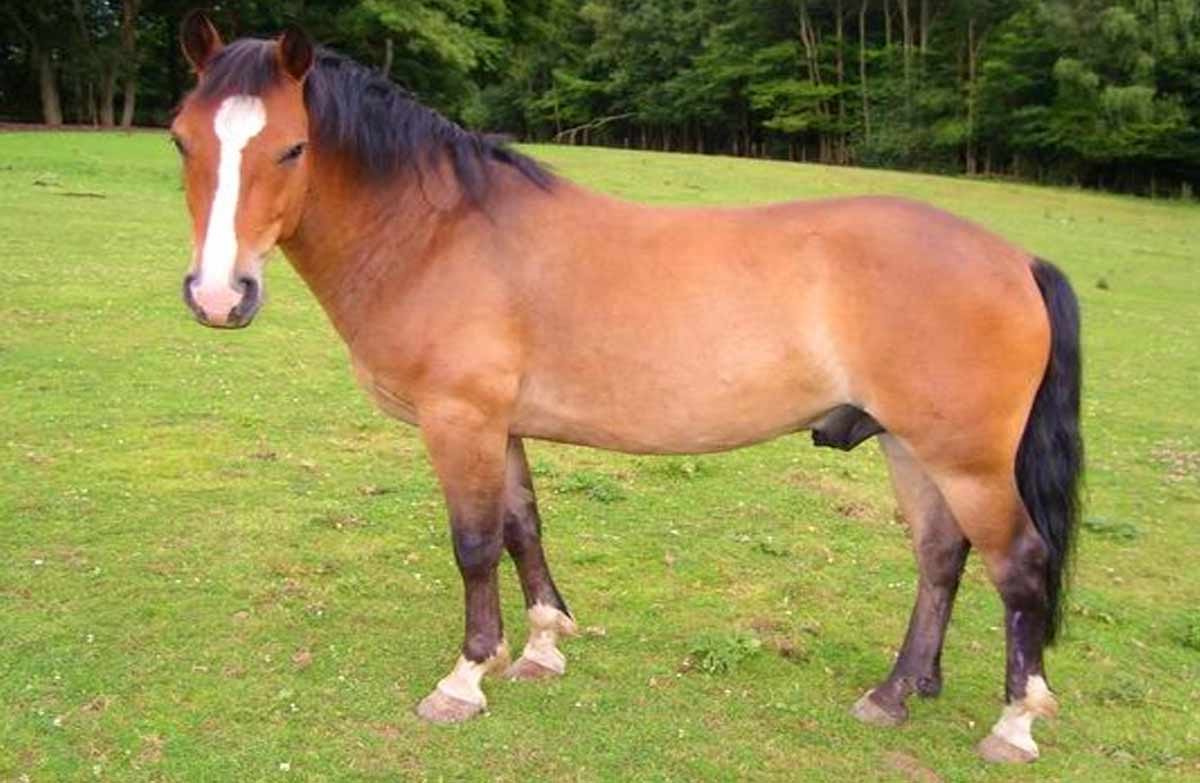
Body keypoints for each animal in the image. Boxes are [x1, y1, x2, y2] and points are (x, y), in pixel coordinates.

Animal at [169, 12, 1082, 763]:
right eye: (182, 141)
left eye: (291, 148)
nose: (218, 296)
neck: (438, 234)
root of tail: (1015, 259)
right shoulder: (501, 425)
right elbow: (523, 529)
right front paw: (542, 645)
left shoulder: (459, 420)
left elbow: (474, 545)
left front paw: (465, 677)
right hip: (909, 445)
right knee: (940, 557)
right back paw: (895, 693)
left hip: (966, 460)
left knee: (1020, 566)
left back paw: (1014, 724)